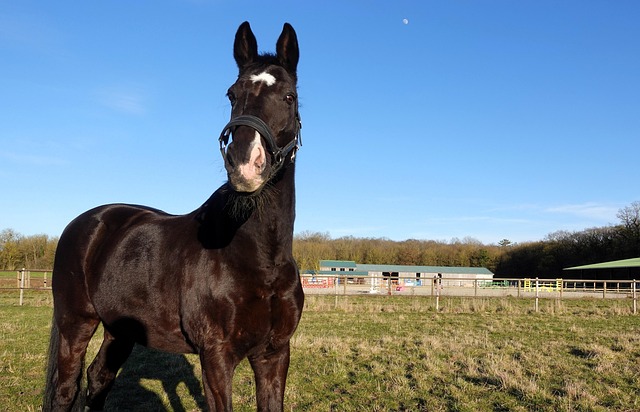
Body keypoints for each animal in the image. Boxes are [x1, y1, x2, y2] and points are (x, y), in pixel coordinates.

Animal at [43, 21, 304, 412]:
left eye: (288, 97)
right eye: (231, 95)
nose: (244, 164)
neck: (261, 258)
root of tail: (87, 223)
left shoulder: (274, 354)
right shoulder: (216, 357)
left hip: (119, 330)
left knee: (99, 377)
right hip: (76, 322)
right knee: (66, 388)